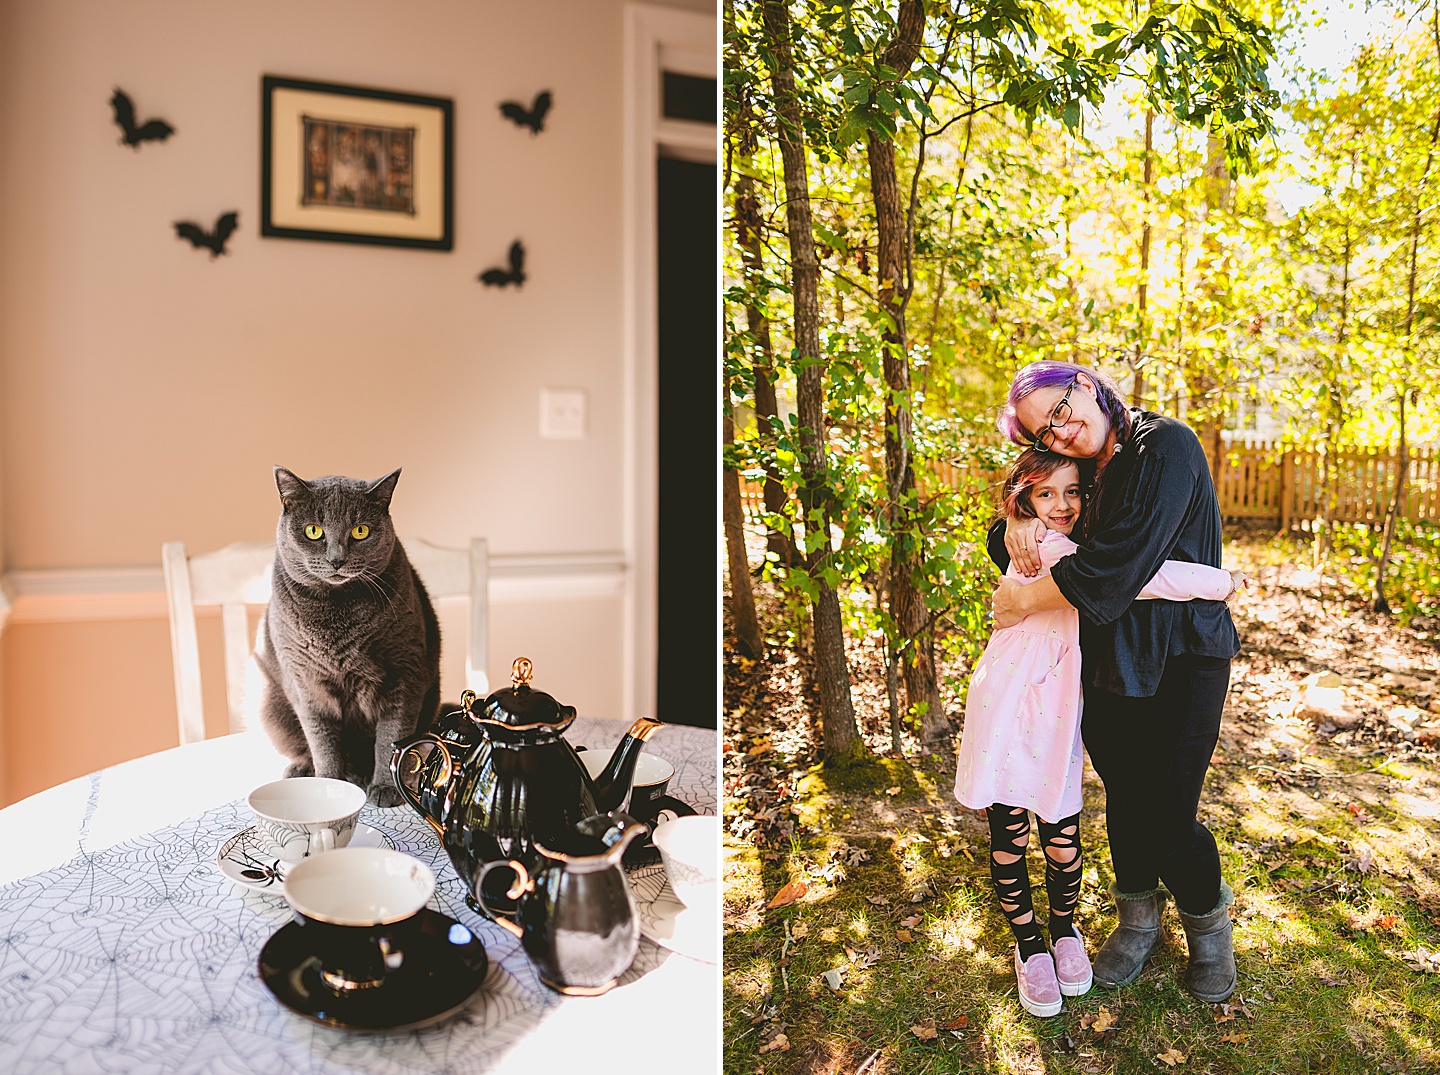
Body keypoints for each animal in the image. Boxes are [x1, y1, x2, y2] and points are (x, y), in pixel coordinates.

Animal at [256, 463, 440, 805]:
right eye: (313, 531)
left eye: (360, 531)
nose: (336, 559)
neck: (336, 609)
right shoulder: (306, 682)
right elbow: (322, 742)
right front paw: (328, 783)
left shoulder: (403, 673)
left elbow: (391, 736)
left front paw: (385, 789)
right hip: (274, 705)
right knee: (305, 747)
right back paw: (306, 771)